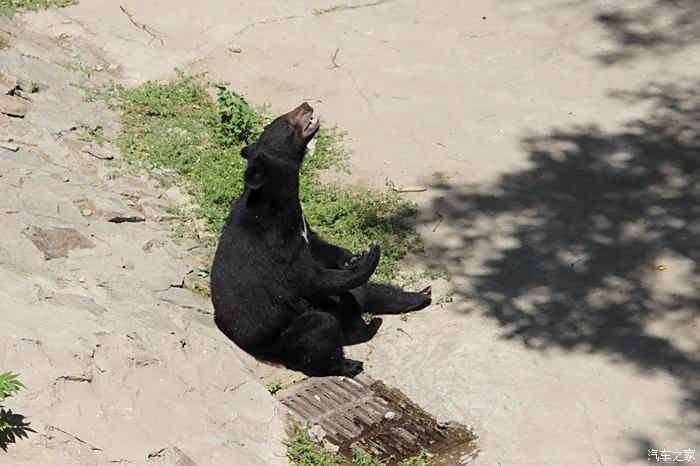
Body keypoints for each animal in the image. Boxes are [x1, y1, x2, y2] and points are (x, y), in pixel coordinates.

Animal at [208, 104, 430, 376]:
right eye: (285, 123)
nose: (306, 105)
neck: (278, 206)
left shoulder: (301, 228)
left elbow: (318, 246)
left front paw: (352, 257)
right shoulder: (277, 248)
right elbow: (311, 278)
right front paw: (371, 254)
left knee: (362, 294)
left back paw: (419, 295)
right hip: (283, 331)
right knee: (321, 329)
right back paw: (351, 359)